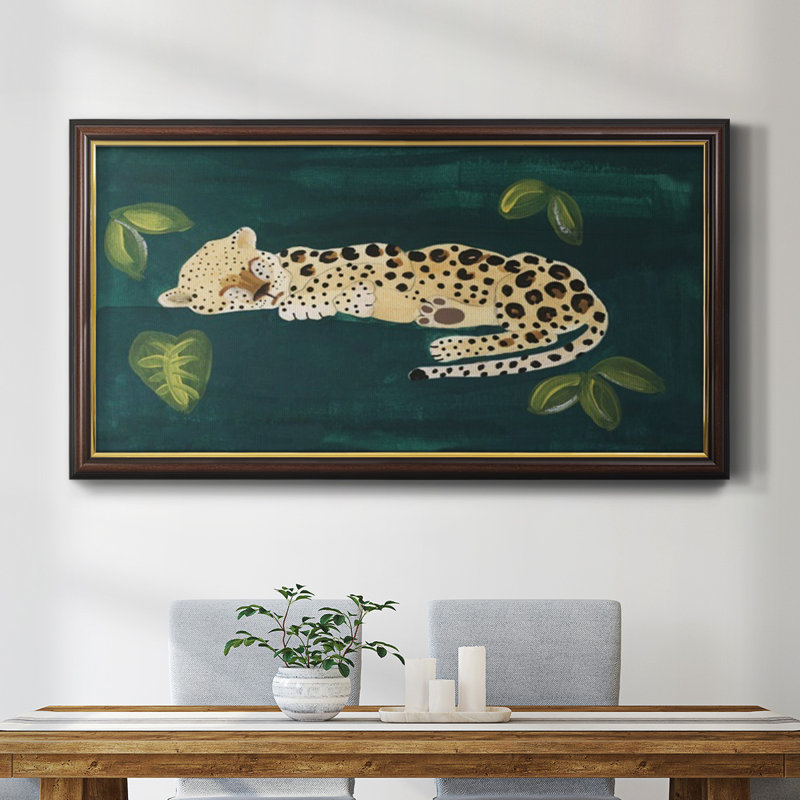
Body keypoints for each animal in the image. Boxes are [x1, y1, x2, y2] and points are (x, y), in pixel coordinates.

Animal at [158, 227, 609, 380]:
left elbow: (342, 276)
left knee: (531, 335)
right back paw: (442, 314)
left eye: (255, 265)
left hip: (520, 279)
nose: (263, 292)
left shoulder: (384, 256)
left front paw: (318, 297)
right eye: (226, 292)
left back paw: (450, 347)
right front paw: (312, 305)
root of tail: (588, 295)